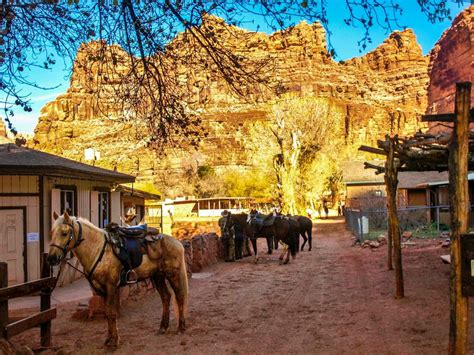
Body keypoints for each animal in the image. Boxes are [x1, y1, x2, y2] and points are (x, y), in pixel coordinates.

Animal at [47, 213, 188, 350]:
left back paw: (181, 327)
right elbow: (107, 313)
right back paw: (163, 327)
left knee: (179, 296)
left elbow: (111, 313)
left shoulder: (111, 286)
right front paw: (109, 339)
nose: (51, 258)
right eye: (52, 232)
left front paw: (114, 342)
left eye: (64, 233)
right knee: (166, 297)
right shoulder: (102, 290)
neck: (98, 249)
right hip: (157, 276)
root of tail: (176, 242)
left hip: (173, 274)